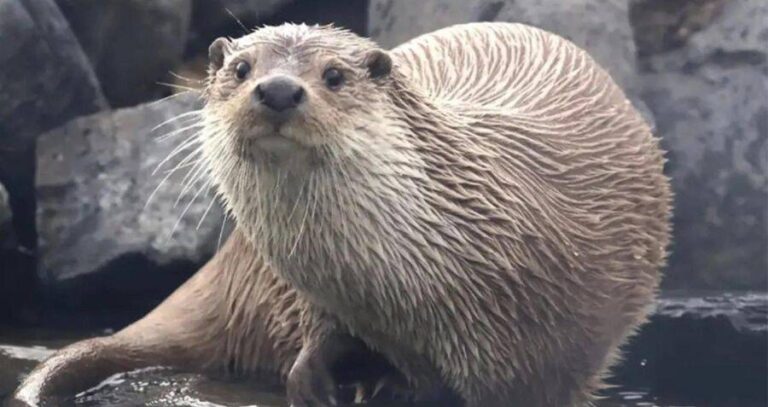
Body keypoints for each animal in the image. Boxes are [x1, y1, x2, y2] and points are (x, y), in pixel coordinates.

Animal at [201, 22, 671, 407]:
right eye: (241, 69)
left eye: (334, 75)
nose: (279, 90)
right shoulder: (332, 299)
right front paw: (312, 379)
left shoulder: (546, 356)